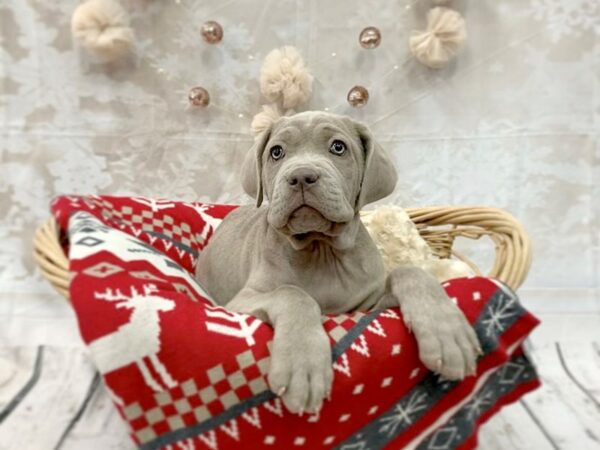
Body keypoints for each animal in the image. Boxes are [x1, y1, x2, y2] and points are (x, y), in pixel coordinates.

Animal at [196, 111, 478, 414]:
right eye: (276, 152)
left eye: (338, 147)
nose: (301, 176)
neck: (321, 250)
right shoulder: (241, 300)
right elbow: (292, 293)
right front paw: (302, 363)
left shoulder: (366, 307)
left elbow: (410, 273)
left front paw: (447, 331)